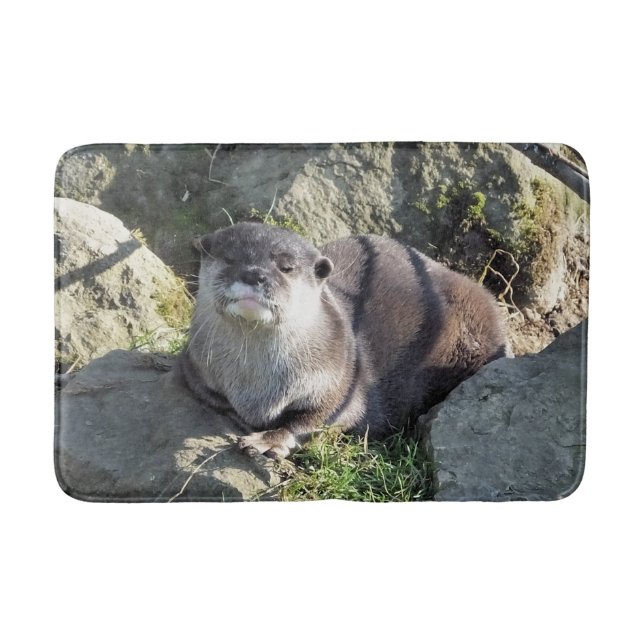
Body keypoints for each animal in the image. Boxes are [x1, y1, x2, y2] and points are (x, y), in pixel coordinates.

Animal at [178, 222, 510, 458]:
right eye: (229, 258)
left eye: (286, 267)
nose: (253, 274)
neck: (256, 388)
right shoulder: (194, 367)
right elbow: (216, 400)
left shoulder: (341, 379)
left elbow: (317, 418)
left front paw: (268, 439)